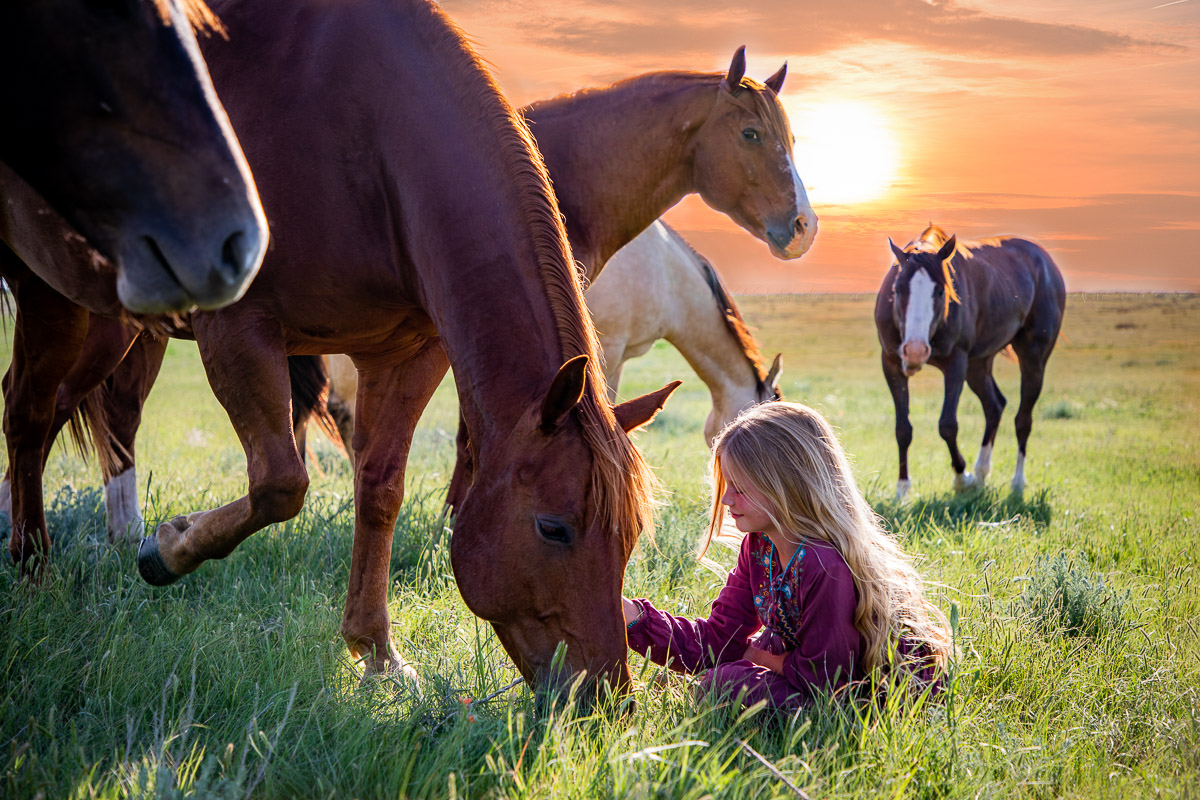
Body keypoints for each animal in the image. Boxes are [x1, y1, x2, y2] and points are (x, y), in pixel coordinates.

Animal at [0, 0, 676, 695]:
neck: (366, 136)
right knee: (28, 415)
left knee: (46, 416)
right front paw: (168, 547)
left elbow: (379, 489)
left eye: (630, 535)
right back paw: (33, 573)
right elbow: (281, 483)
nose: (605, 694)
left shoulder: (407, 354)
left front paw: (376, 649)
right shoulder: (238, 329)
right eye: (553, 528)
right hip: (54, 299)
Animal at [873, 225, 1070, 501]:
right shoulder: (891, 364)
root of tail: (1045, 260)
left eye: (940, 290)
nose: (915, 351)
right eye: (898, 290)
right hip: (978, 365)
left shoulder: (956, 362)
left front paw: (961, 478)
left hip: (1033, 357)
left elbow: (947, 425)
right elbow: (903, 429)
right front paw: (902, 491)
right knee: (994, 406)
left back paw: (1016, 484)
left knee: (1023, 420)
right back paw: (980, 475)